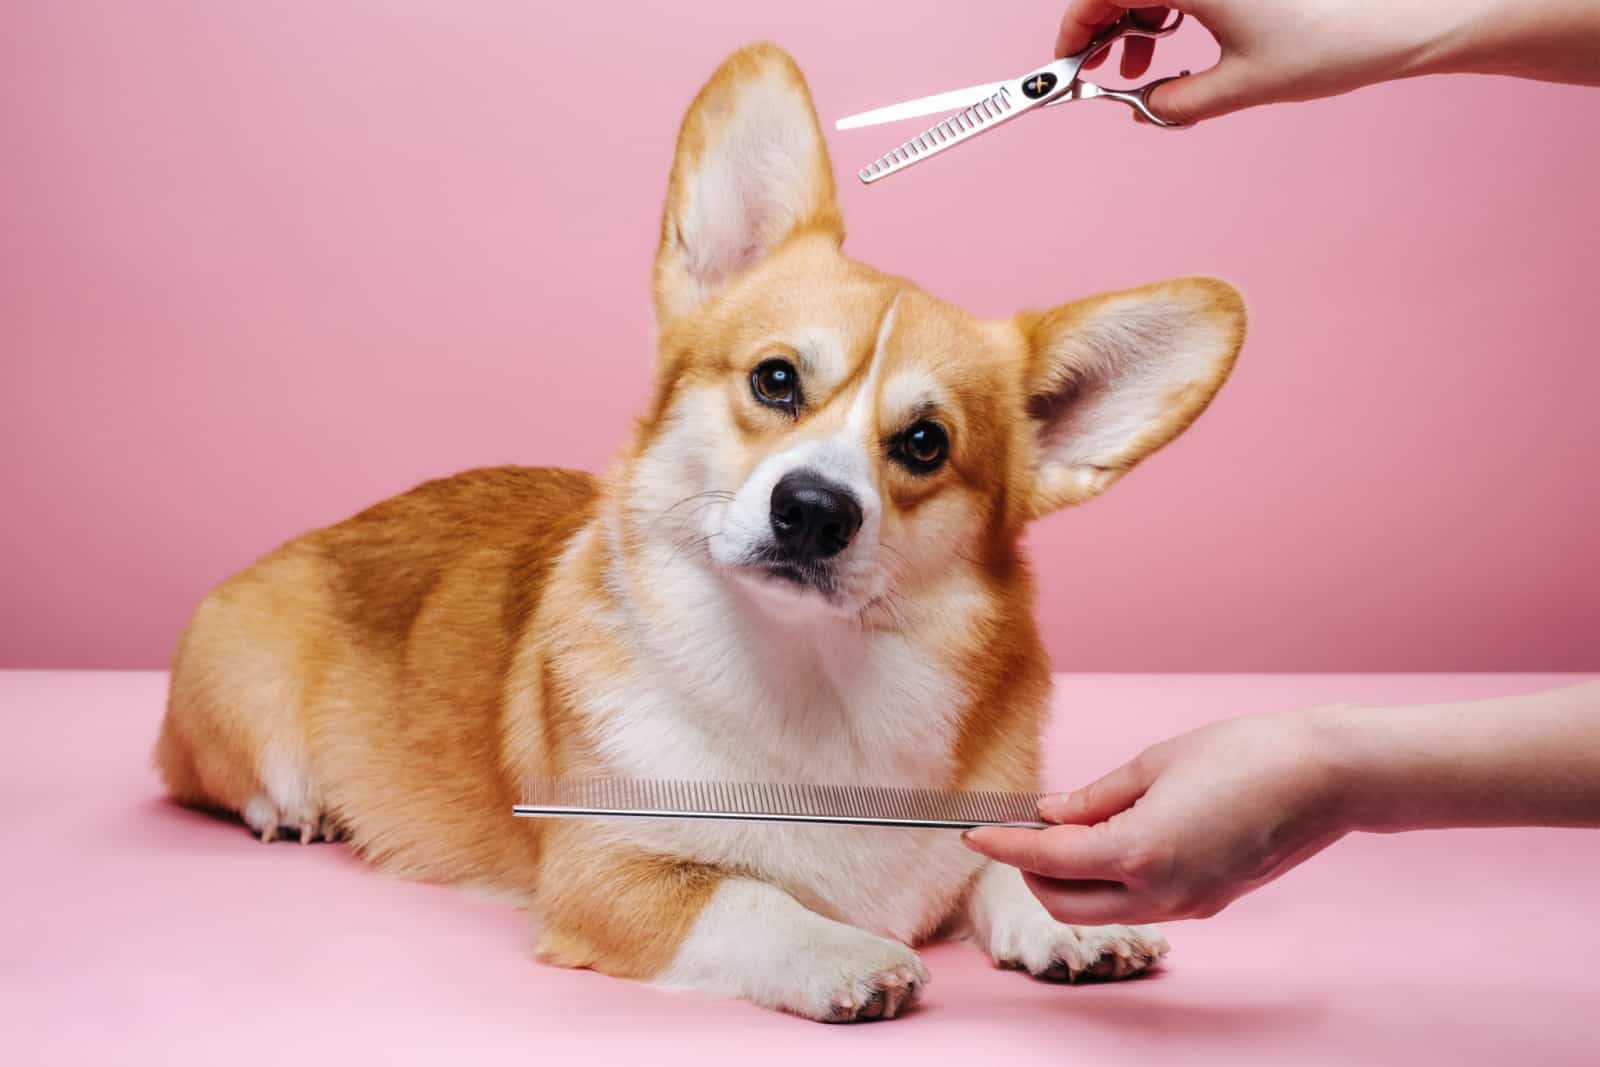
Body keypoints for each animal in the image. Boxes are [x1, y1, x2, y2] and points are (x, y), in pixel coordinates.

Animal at [156, 43, 1241, 1023]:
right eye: (775, 378)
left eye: (926, 443)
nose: (813, 508)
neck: (812, 688)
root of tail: (329, 528)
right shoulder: (613, 875)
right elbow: (748, 895)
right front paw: (845, 950)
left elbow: (998, 863)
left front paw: (1070, 921)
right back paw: (291, 805)